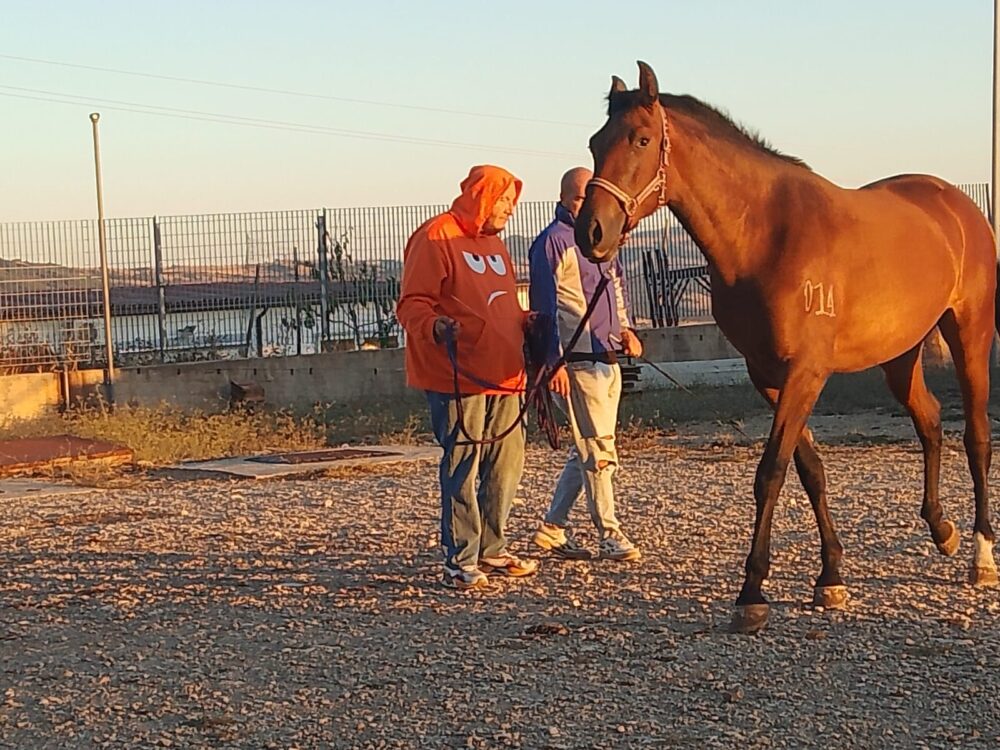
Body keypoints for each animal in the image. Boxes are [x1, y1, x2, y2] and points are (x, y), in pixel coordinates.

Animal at [575, 61, 999, 633]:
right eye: (596, 142)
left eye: (641, 138)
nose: (591, 232)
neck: (765, 234)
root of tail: (954, 203)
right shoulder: (768, 375)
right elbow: (810, 471)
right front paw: (831, 578)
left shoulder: (805, 372)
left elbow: (771, 472)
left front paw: (752, 593)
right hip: (900, 355)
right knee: (930, 421)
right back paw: (942, 530)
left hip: (969, 334)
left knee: (976, 438)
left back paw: (981, 556)